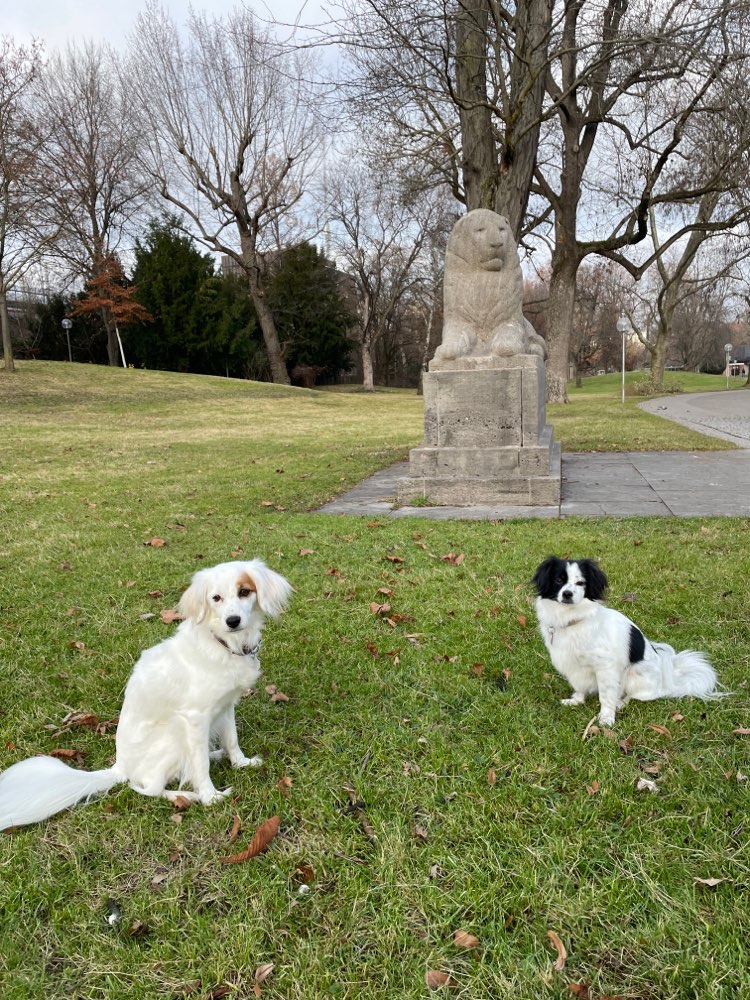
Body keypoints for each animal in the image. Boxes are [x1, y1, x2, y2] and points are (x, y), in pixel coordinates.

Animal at [0, 560, 292, 832]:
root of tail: (119, 766)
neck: (222, 644)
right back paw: (186, 795)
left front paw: (241, 763)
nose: (233, 621)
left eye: (244, 591)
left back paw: (215, 756)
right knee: (147, 787)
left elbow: (232, 740)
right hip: (173, 736)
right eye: (216, 598)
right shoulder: (195, 718)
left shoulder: (226, 705)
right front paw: (210, 796)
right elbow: (199, 765)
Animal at [532, 556, 724, 728]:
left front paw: (606, 717)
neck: (572, 619)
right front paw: (576, 701)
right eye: (559, 580)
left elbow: (606, 695)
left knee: (636, 695)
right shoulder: (573, 666)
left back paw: (621, 703)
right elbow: (579, 687)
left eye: (581, 583)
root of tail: (667, 681)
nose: (567, 593)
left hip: (634, 674)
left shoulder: (605, 667)